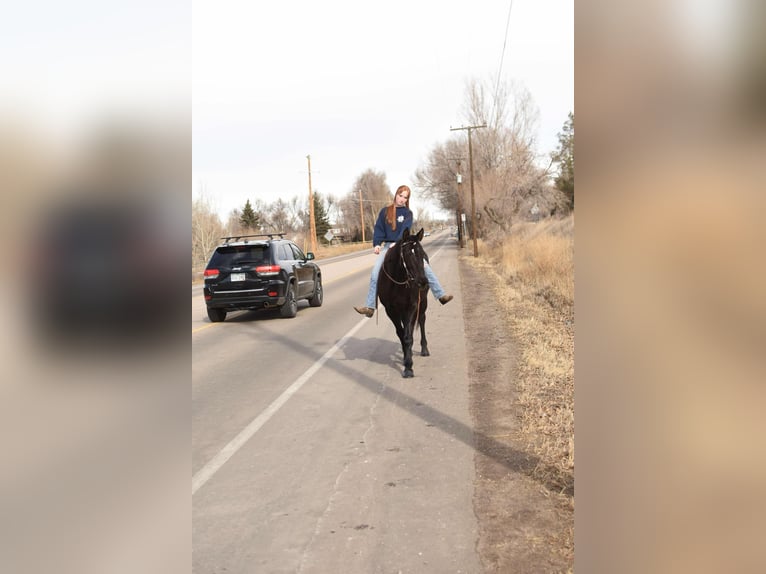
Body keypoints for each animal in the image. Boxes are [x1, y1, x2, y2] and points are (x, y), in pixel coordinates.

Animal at [378, 227, 432, 380]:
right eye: (408, 254)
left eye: (422, 254)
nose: (423, 281)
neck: (398, 282)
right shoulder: (391, 310)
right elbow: (401, 334)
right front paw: (406, 358)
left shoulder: (411, 307)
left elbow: (408, 337)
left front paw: (408, 367)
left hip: (423, 303)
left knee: (422, 320)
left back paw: (424, 349)